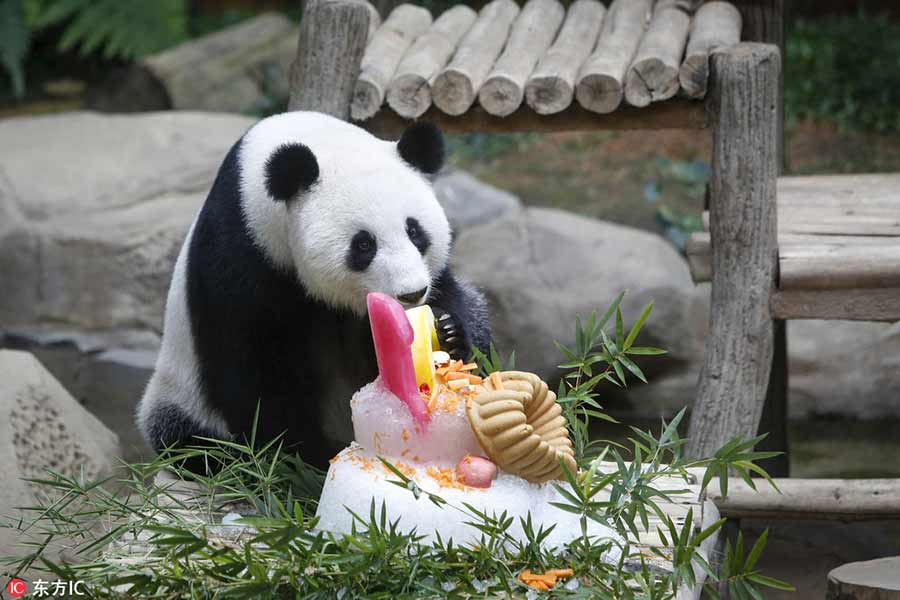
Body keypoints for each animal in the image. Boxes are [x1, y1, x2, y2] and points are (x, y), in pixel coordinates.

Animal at [135, 111, 492, 468]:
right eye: (364, 245)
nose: (411, 294)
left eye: (415, 232)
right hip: (180, 397)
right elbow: (256, 373)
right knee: (191, 440)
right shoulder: (240, 257)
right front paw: (302, 458)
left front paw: (447, 333)